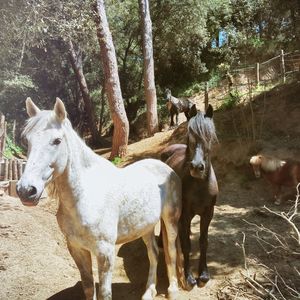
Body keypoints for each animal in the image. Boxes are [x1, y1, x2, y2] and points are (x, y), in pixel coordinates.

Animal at [17, 98, 185, 300]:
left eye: (57, 141)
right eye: (27, 140)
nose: (26, 190)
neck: (86, 196)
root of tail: (166, 167)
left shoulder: (105, 252)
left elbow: (105, 292)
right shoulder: (77, 248)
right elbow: (89, 287)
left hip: (170, 220)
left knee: (171, 251)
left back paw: (172, 290)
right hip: (146, 226)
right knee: (153, 253)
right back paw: (148, 292)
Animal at [161, 105, 219, 288]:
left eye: (209, 136)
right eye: (189, 135)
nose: (197, 167)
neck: (199, 185)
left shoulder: (208, 213)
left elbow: (203, 241)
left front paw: (204, 274)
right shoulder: (185, 215)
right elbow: (186, 244)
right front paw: (188, 277)